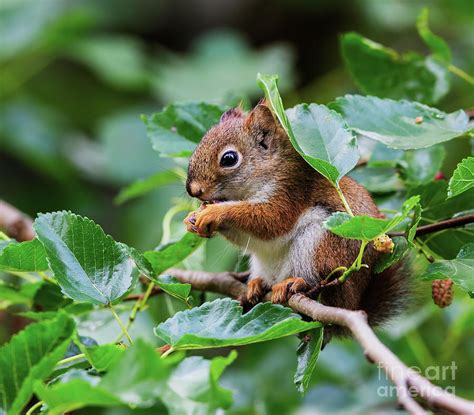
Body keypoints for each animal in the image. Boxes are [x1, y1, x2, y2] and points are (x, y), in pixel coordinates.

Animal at [183, 104, 410, 334]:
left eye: (229, 159)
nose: (193, 190)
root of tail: (352, 305)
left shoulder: (291, 189)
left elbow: (271, 221)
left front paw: (214, 212)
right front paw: (192, 219)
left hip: (321, 244)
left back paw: (295, 284)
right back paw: (257, 285)